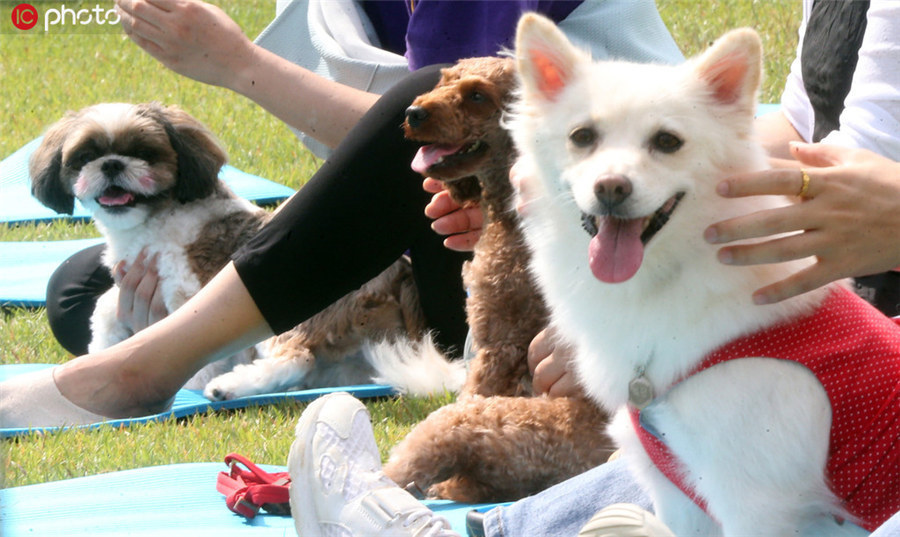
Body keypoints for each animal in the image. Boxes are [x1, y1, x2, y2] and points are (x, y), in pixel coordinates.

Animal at [28, 102, 464, 398]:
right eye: (85, 156)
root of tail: (400, 276)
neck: (155, 219)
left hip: (298, 305)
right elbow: (105, 309)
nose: (112, 164)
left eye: (145, 153)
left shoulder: (190, 291)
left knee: (296, 357)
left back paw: (229, 386)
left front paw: (193, 379)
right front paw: (102, 349)